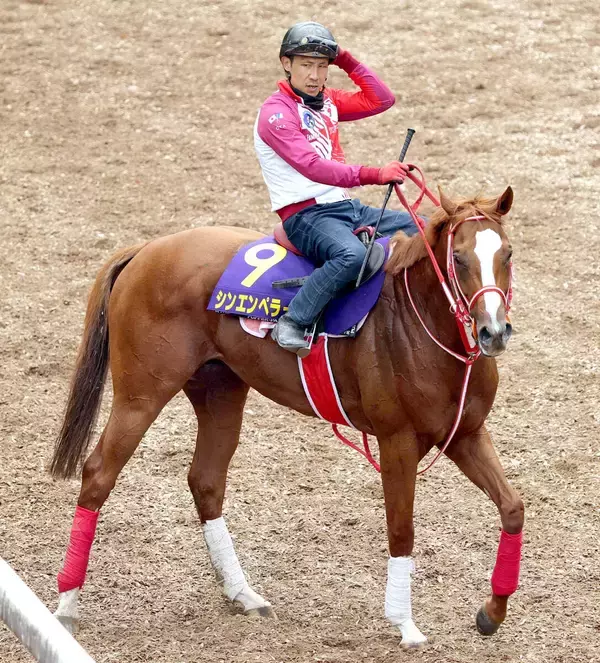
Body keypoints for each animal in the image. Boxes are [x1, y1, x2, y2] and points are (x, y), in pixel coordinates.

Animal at [49, 184, 524, 648]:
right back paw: (66, 606)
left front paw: (492, 613)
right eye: (458, 257)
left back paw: (242, 593)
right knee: (98, 475)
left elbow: (512, 507)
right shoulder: (397, 443)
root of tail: (147, 249)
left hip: (219, 391)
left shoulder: (465, 433)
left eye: (508, 253)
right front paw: (405, 625)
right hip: (141, 397)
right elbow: (401, 530)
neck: (416, 321)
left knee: (206, 482)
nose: (493, 332)